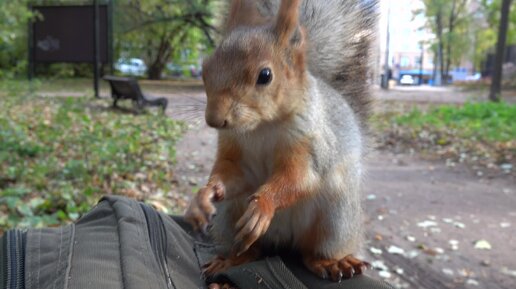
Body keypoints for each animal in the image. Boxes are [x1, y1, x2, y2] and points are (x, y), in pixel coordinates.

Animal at [184, 0, 374, 282]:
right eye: (205, 70)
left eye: (265, 75)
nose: (214, 120)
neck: (261, 127)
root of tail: (285, 241)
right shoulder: (234, 149)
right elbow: (233, 176)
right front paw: (203, 196)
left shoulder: (310, 143)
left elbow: (299, 178)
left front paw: (264, 204)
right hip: (230, 217)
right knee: (254, 250)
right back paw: (230, 260)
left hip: (336, 218)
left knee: (311, 252)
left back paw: (332, 263)